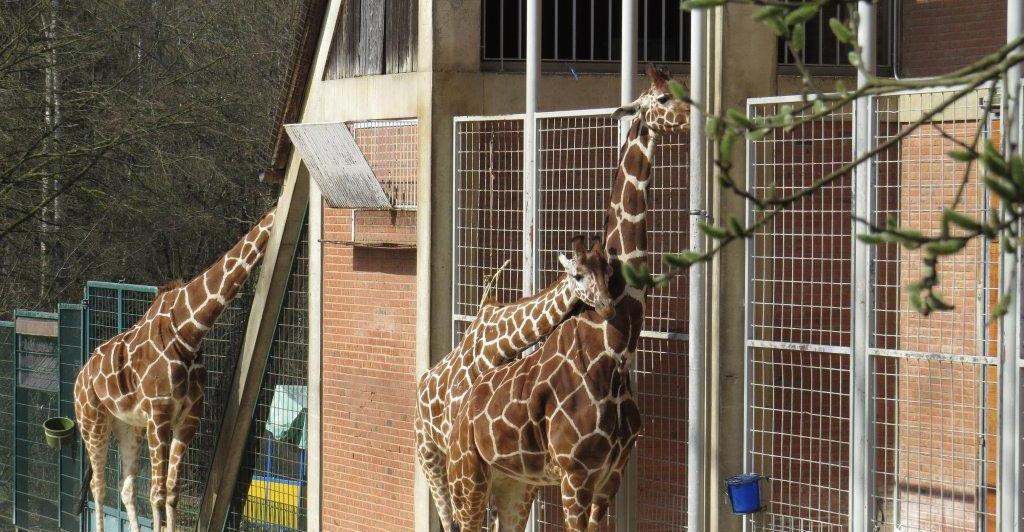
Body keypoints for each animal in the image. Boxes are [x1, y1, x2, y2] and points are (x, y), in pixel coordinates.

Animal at [73, 208, 276, 532]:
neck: (189, 329)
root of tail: (80, 376)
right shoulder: (159, 415)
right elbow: (156, 493)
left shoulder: (188, 418)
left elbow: (171, 492)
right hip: (92, 421)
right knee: (99, 487)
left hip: (129, 426)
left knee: (126, 487)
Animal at [413, 236, 610, 532]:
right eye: (578, 275)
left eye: (608, 272)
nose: (606, 303)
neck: (500, 344)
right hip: (429, 454)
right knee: (449, 520)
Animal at [446, 66, 692, 532]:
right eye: (663, 98)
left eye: (685, 87)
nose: (694, 116)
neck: (612, 351)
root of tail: (461, 407)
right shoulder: (574, 472)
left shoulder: (611, 473)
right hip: (466, 472)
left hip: (514, 482)